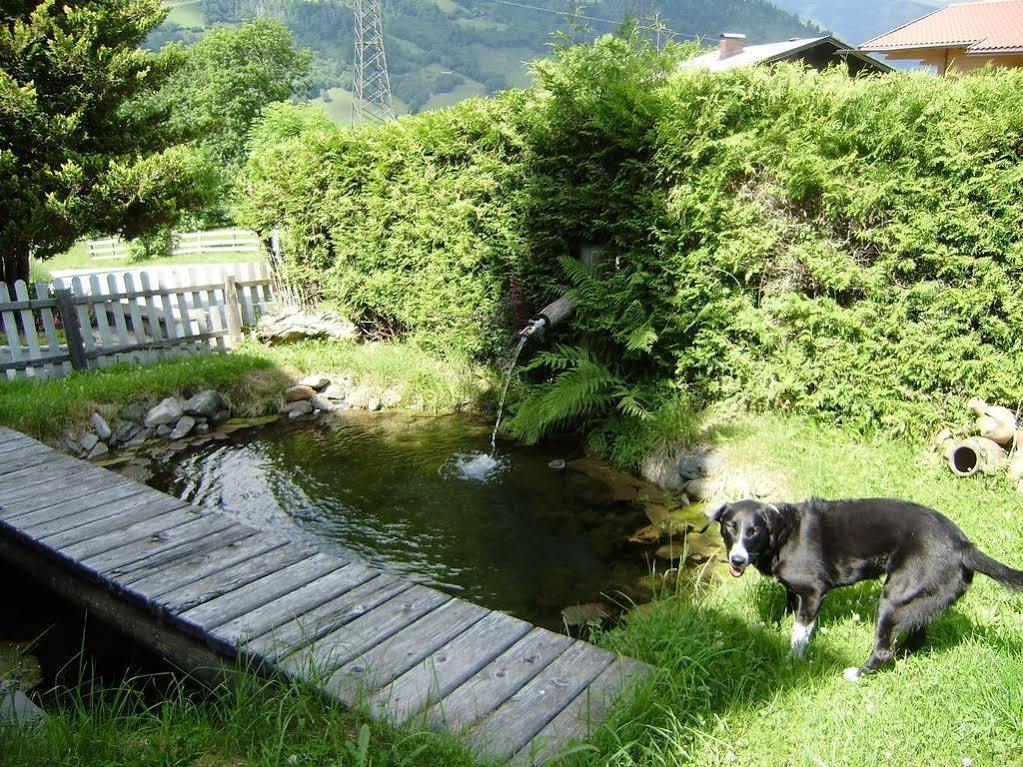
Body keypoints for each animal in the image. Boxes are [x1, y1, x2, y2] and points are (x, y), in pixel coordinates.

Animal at [707, 501, 1023, 683]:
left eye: (754, 531)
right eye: (730, 527)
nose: (736, 560)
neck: (783, 532)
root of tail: (963, 547)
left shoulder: (813, 592)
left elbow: (800, 632)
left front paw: (792, 663)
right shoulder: (795, 591)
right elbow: (787, 607)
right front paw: (769, 628)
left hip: (893, 599)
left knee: (883, 650)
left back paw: (856, 674)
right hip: (920, 601)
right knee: (914, 639)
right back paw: (901, 657)